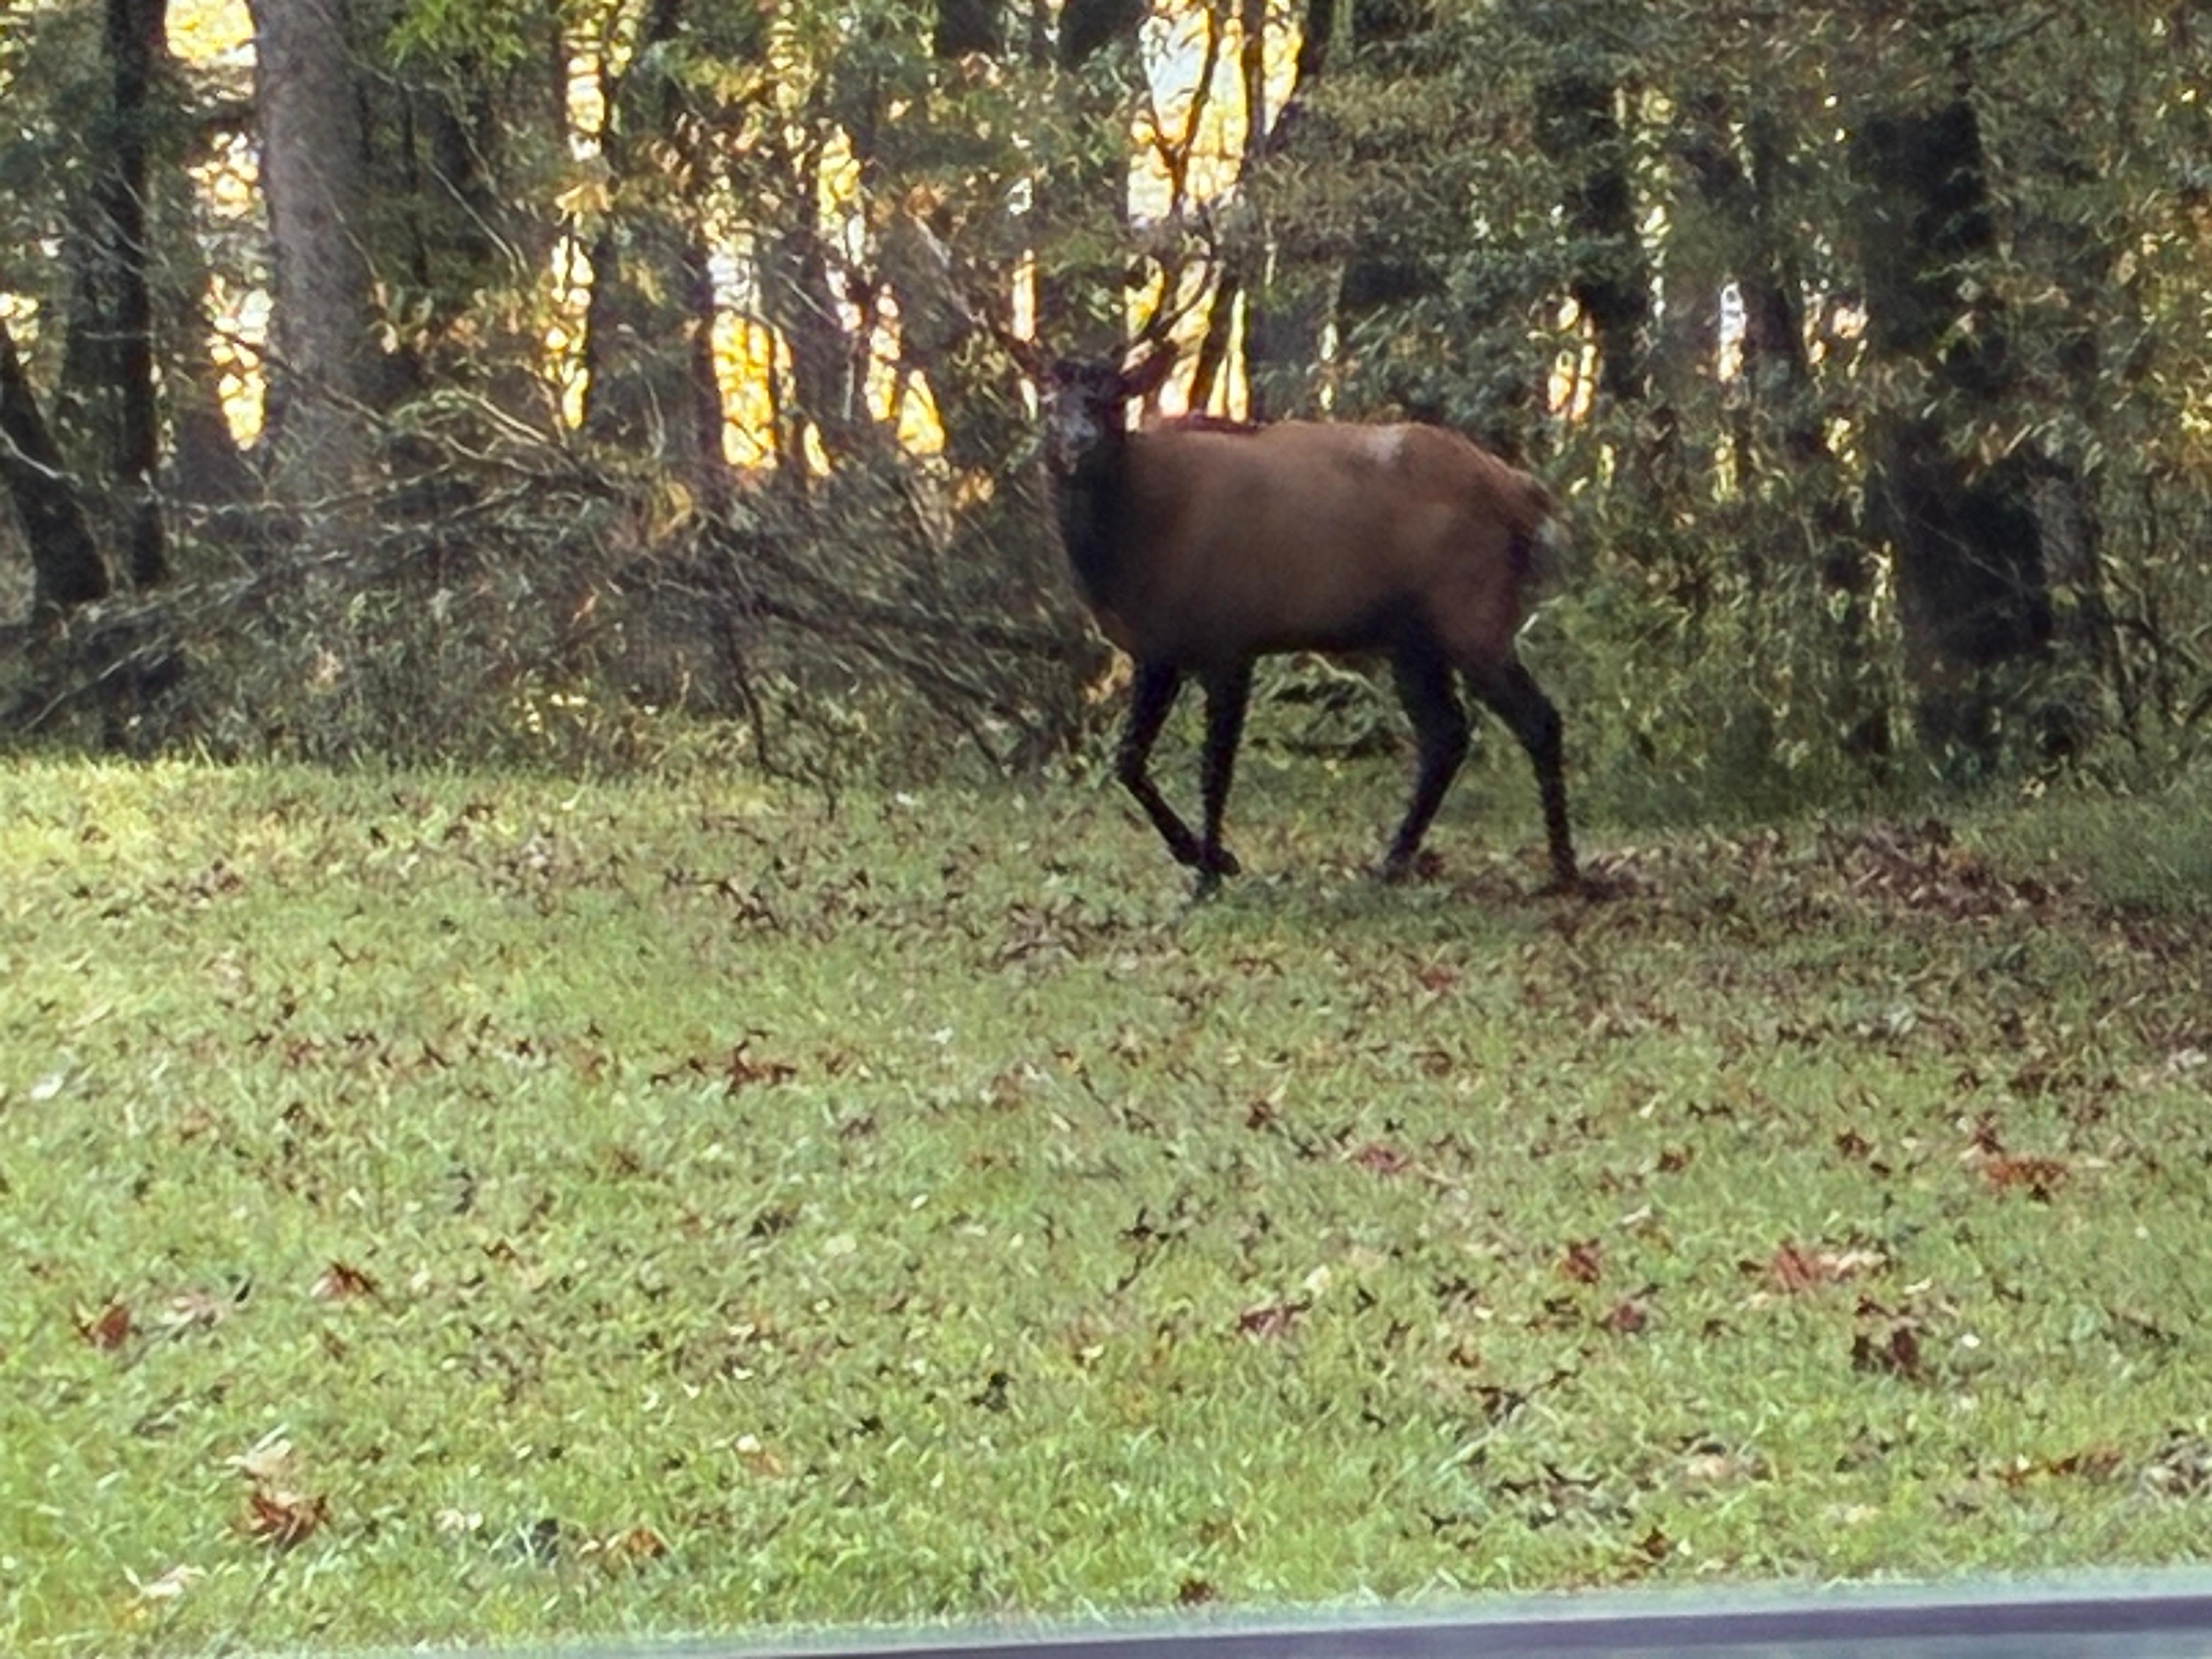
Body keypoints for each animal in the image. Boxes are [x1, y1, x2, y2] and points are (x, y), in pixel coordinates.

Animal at [999, 316, 1578, 901]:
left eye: (1113, 400)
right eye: (1048, 399)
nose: (1079, 443)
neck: (1129, 550)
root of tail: (1528, 496)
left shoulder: (1226, 638)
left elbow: (1214, 767)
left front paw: (1211, 871)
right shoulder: (1157, 649)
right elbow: (1128, 760)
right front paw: (1205, 857)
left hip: (1473, 612)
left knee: (1538, 720)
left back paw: (1564, 870)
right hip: (1413, 637)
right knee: (1447, 736)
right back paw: (1393, 862)